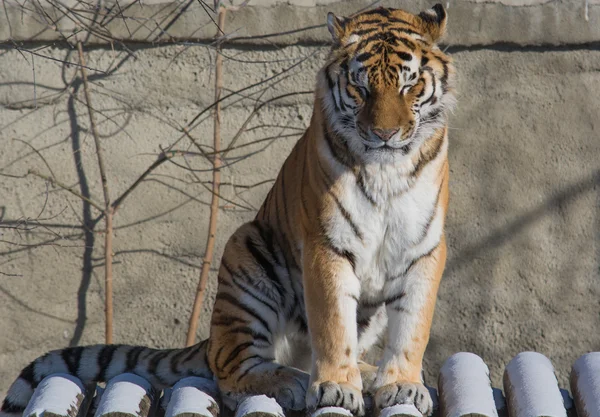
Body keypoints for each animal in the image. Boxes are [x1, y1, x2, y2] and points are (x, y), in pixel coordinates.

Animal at [2, 4, 458, 416]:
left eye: (409, 86)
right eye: (361, 89)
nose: (384, 134)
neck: (385, 169)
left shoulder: (423, 247)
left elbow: (412, 327)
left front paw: (401, 385)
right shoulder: (326, 243)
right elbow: (332, 323)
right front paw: (335, 388)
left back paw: (362, 371)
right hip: (247, 255)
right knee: (232, 370)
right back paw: (294, 381)